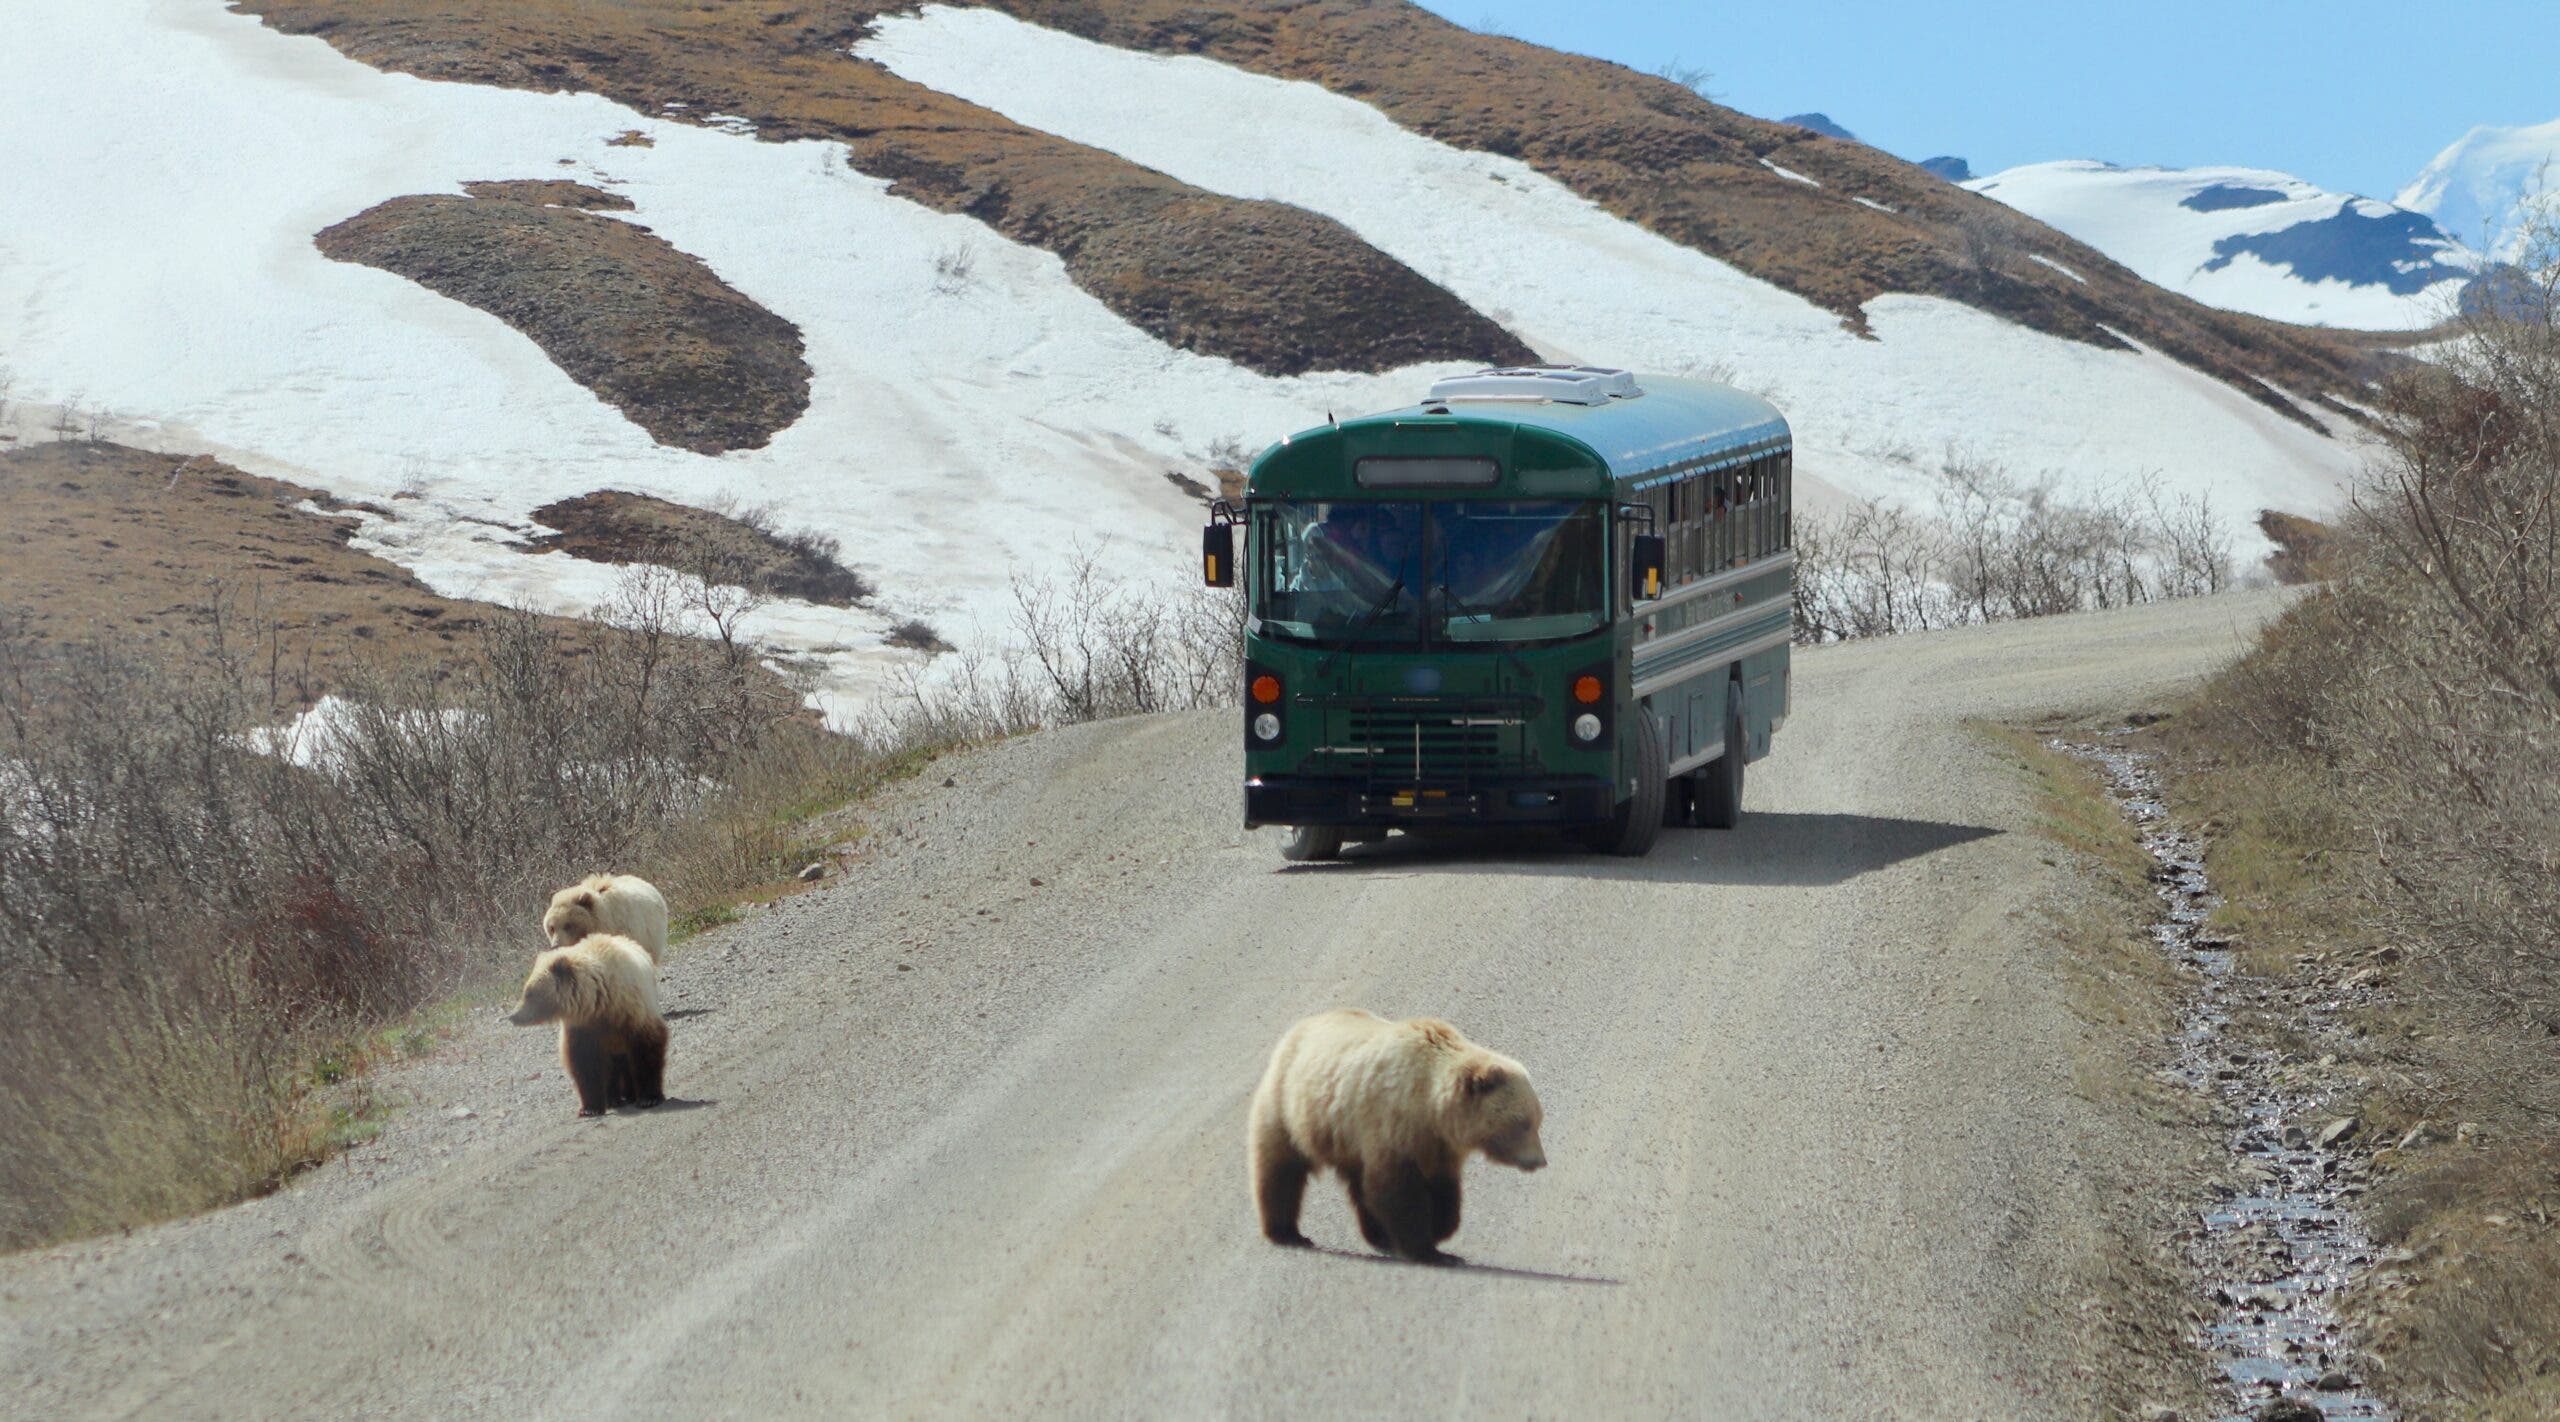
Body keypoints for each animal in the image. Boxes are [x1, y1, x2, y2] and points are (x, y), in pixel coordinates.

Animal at [505, 933, 668, 1117]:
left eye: (529, 993)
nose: (512, 1016)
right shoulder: (583, 1026)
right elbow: (585, 1062)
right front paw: (590, 1108)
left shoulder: (631, 1011)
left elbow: (646, 1048)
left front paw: (649, 1098)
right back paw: (613, 1099)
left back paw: (629, 1094)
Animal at [1248, 1009, 1545, 1263]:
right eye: (1522, 1122)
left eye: (1538, 1120)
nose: (1539, 1161)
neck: (1432, 1108)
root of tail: (1299, 1027)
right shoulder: (1392, 1128)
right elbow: (1397, 1191)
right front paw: (1427, 1248)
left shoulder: (1438, 1146)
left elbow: (1443, 1190)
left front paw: (1440, 1229)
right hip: (1291, 1107)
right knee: (1281, 1169)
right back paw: (1287, 1232)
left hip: (1347, 1138)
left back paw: (1376, 1235)